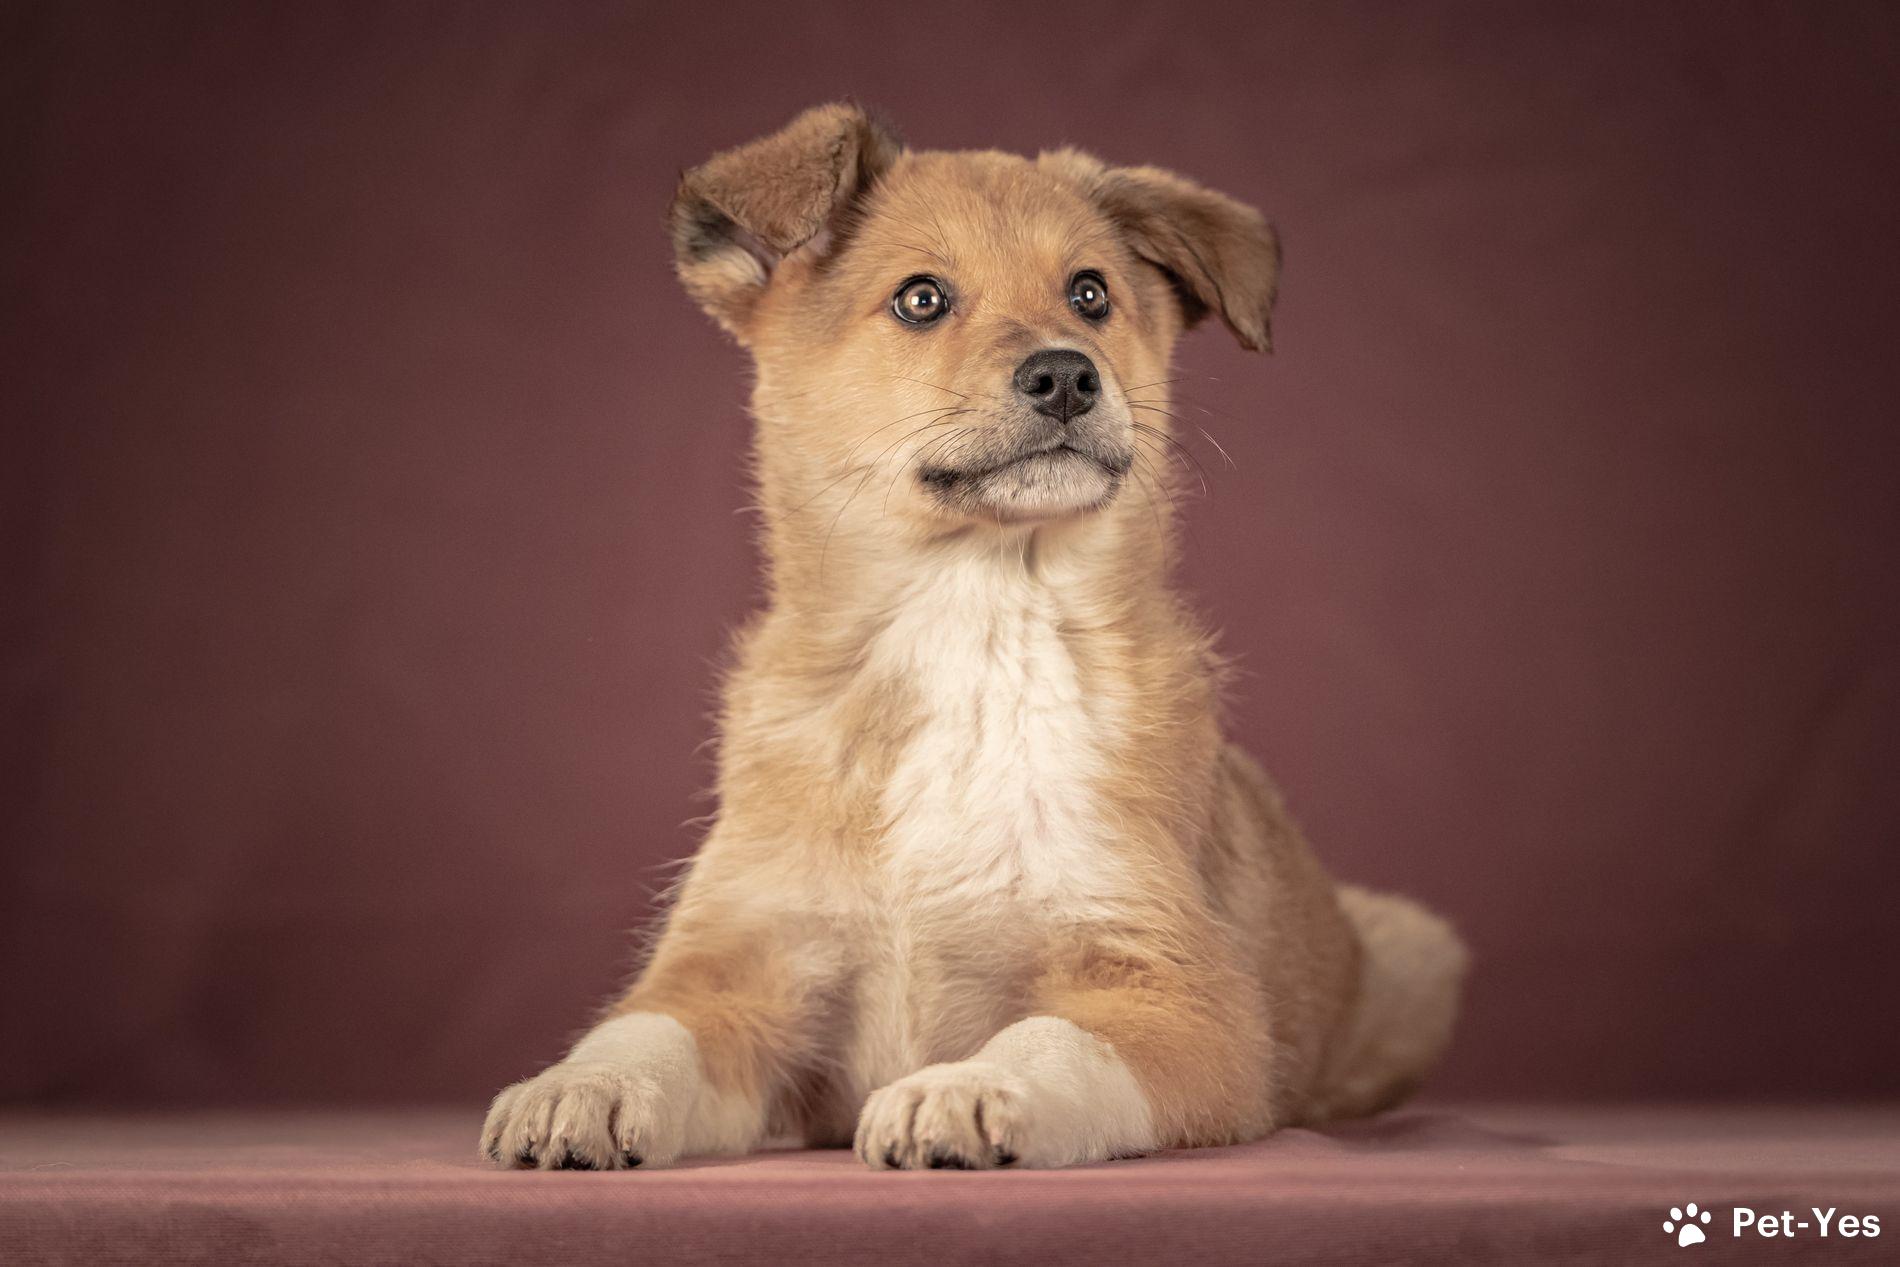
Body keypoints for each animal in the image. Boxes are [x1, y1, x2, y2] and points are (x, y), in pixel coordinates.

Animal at [480, 103, 1467, 1171]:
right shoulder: (738, 967)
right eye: (922, 299)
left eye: (1091, 293)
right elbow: (643, 1027)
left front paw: (964, 1087)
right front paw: (581, 1085)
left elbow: (1049, 1037)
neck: (973, 626)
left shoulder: (1183, 996)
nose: (1067, 375)